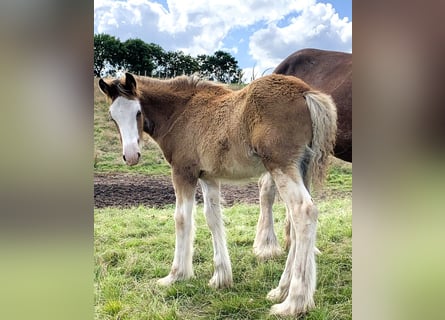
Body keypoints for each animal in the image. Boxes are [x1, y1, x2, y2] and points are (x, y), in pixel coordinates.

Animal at [99, 73, 334, 318]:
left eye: (137, 112)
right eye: (113, 116)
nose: (130, 156)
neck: (181, 112)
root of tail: (305, 92)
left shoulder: (183, 172)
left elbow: (182, 219)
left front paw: (176, 275)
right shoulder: (208, 177)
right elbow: (213, 218)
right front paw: (221, 277)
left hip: (281, 166)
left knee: (304, 211)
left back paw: (293, 303)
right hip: (301, 168)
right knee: (296, 224)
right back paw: (281, 290)